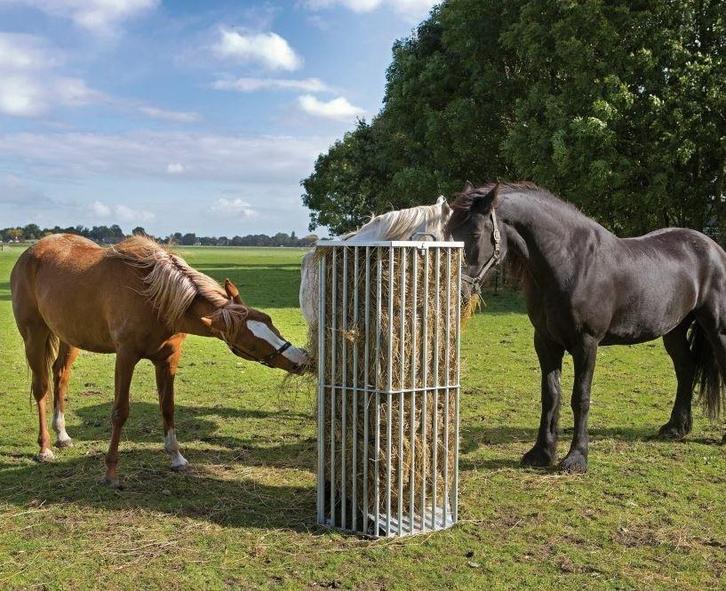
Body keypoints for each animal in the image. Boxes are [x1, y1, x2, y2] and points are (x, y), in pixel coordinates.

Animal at [10, 234, 309, 487]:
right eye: (249, 342)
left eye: (269, 320)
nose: (301, 360)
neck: (154, 297)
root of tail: (31, 252)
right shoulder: (126, 357)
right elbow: (120, 412)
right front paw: (110, 471)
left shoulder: (167, 360)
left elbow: (168, 407)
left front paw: (176, 457)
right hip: (34, 334)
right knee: (41, 388)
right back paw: (45, 447)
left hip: (68, 338)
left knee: (60, 375)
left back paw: (62, 435)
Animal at [447, 181, 726, 473]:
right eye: (448, 230)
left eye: (475, 233)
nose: (457, 291)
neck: (571, 264)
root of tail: (712, 247)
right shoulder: (545, 341)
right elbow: (551, 395)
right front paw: (541, 453)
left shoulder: (586, 344)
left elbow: (580, 398)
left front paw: (576, 458)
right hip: (674, 331)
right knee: (686, 369)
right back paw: (675, 428)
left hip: (717, 329)